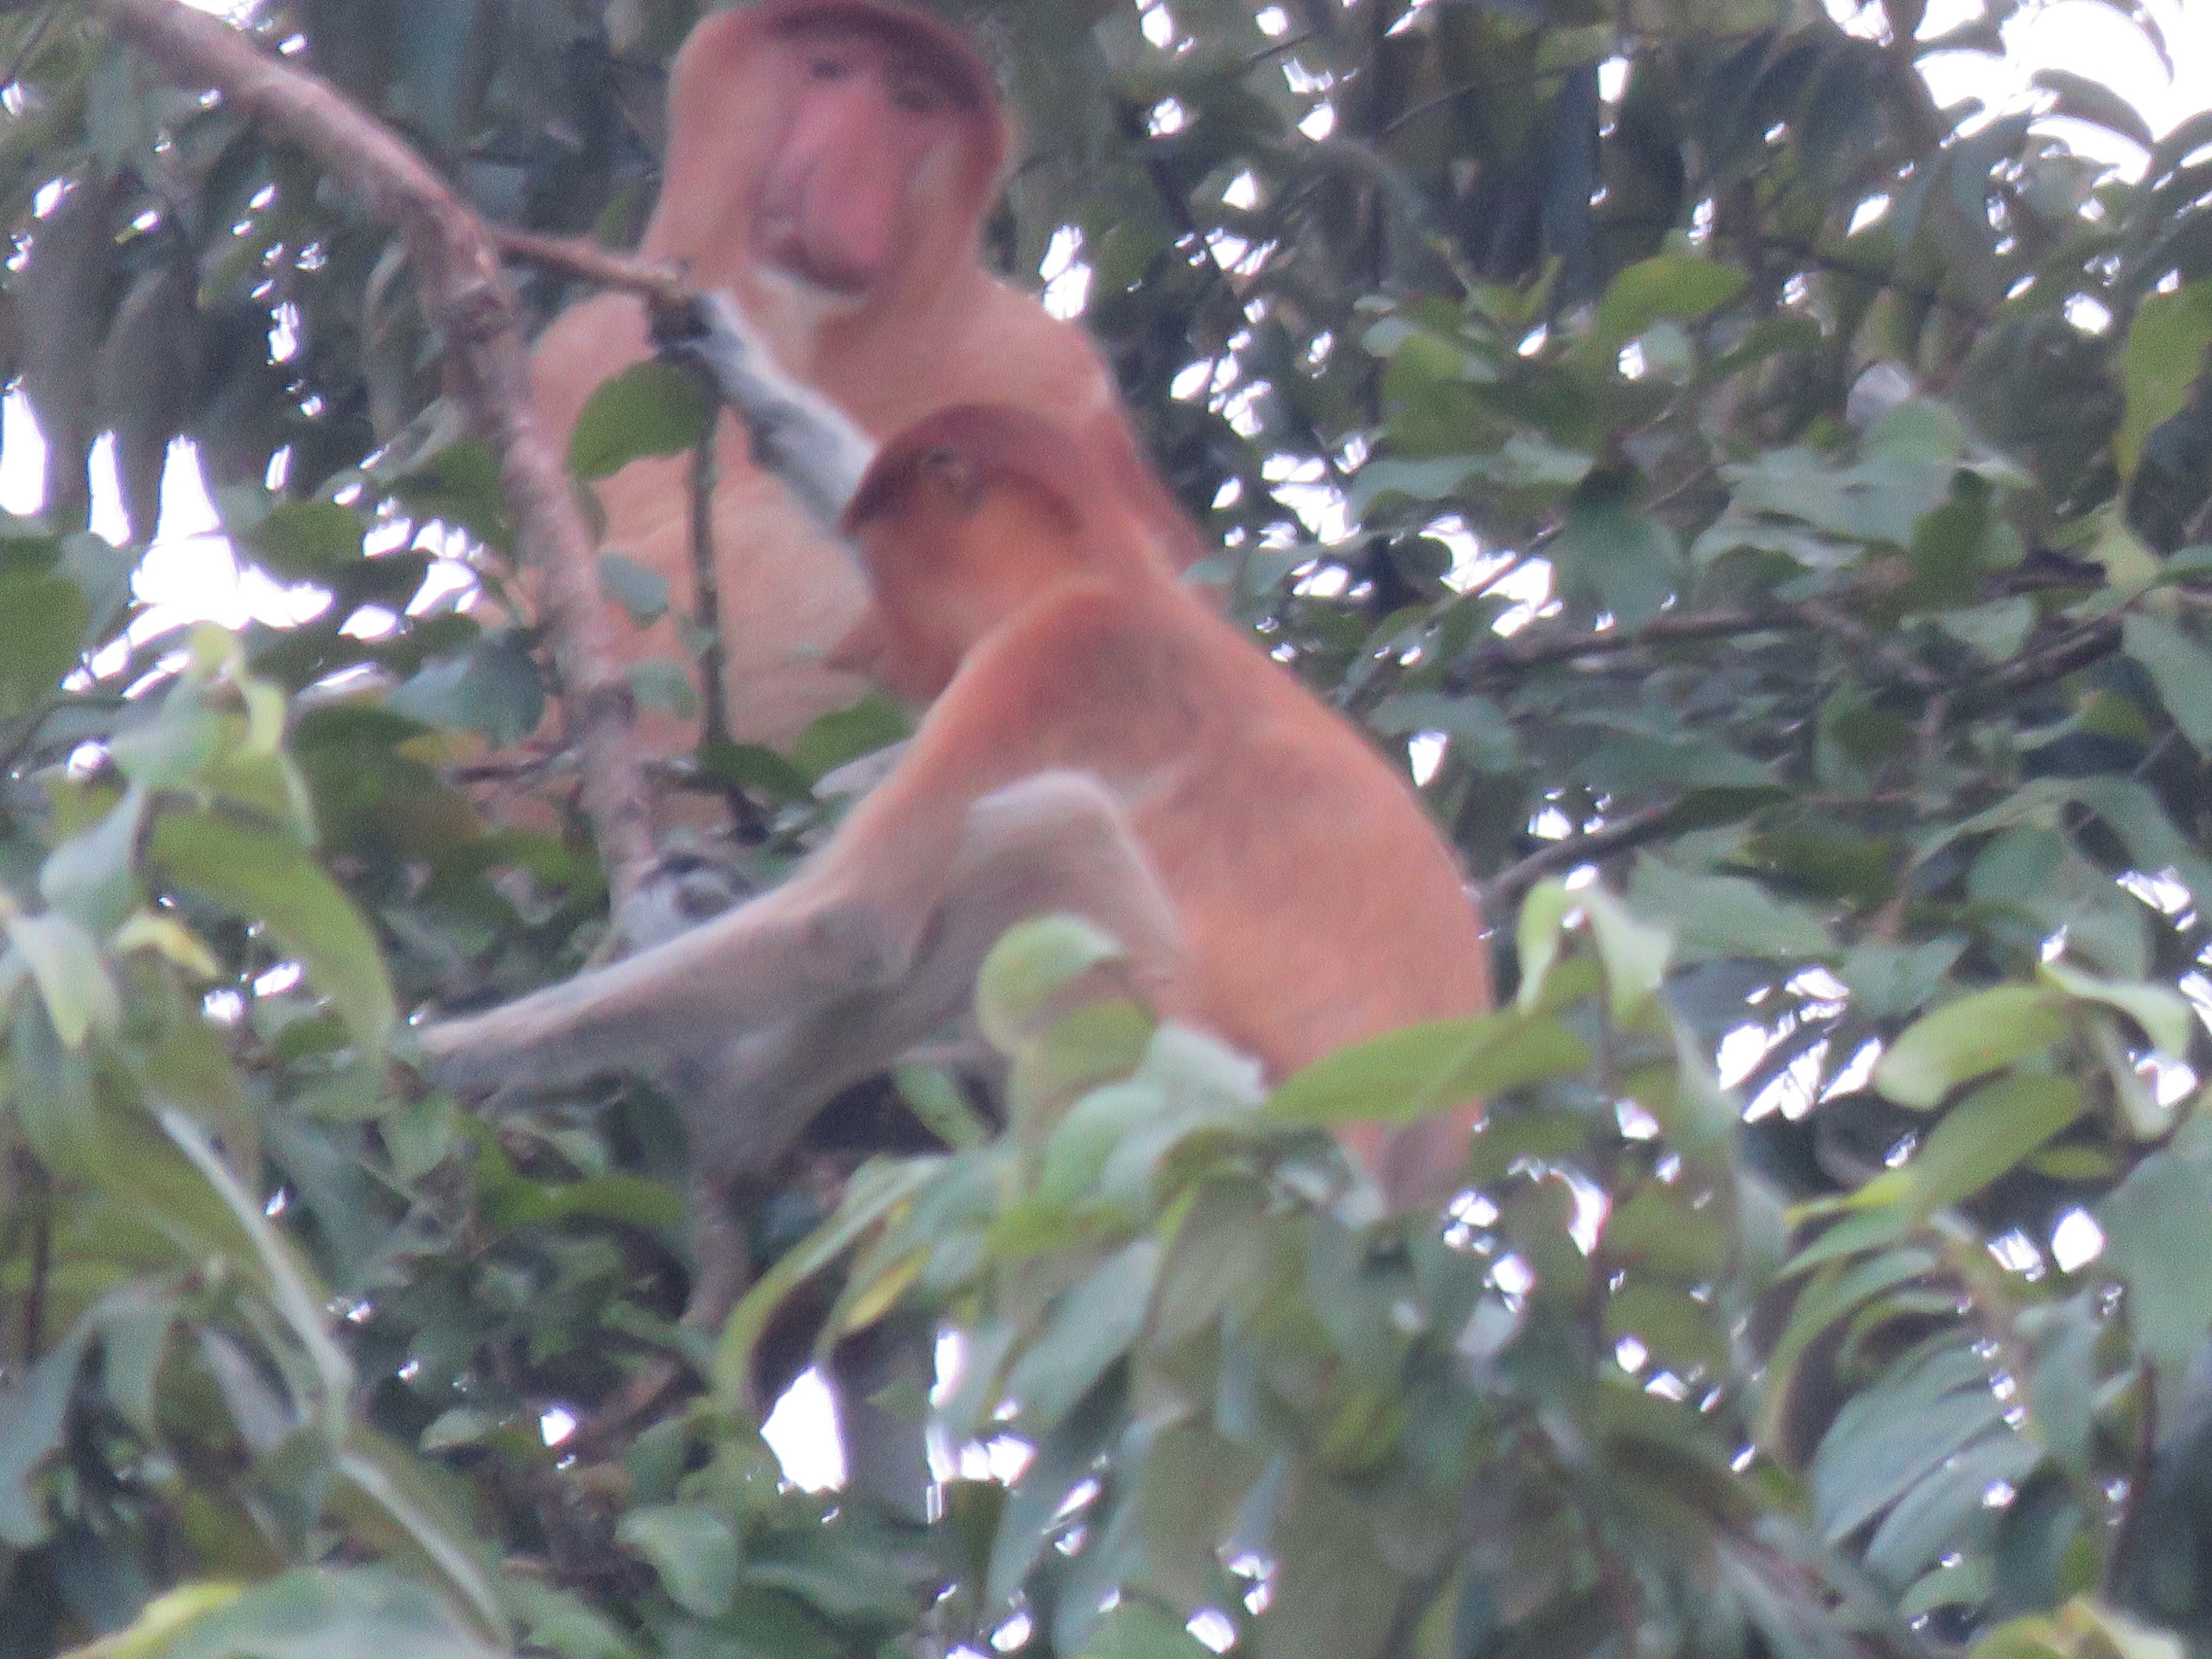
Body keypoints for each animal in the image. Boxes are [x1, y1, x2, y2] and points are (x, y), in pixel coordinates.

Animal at [420, 403, 1494, 1324]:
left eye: (881, 562)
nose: (868, 647)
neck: (1101, 574)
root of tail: (1384, 1191)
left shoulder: (1042, 662)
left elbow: (848, 924)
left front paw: (436, 1051)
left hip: (1202, 1106)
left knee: (1041, 832)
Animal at [528, 0, 1196, 757]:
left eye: (912, 102)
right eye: (828, 68)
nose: (835, 177)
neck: (815, 338)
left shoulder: (1048, 369)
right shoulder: (571, 358)